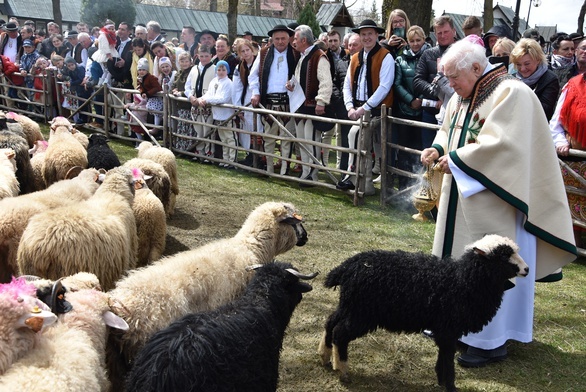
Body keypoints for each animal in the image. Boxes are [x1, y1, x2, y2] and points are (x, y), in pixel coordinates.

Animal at [318, 236, 528, 392]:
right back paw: (343, 370)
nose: (526, 269)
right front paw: (451, 386)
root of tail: (346, 268)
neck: (463, 279)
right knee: (340, 333)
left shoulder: (444, 329)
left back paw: (325, 357)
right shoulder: (448, 329)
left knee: (330, 322)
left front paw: (441, 381)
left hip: (349, 305)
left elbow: (443, 355)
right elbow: (448, 357)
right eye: (503, 256)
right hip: (362, 313)